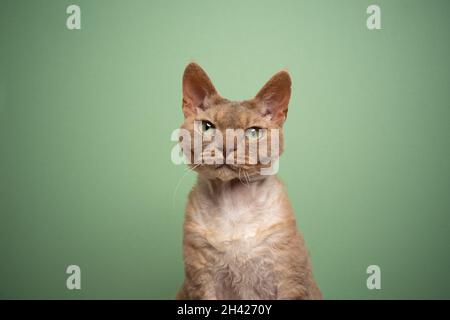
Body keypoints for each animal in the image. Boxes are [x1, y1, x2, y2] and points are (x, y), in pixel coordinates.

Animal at [176, 62, 320, 300]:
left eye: (253, 132)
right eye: (207, 127)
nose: (226, 147)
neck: (234, 202)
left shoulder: (289, 279)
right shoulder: (201, 278)